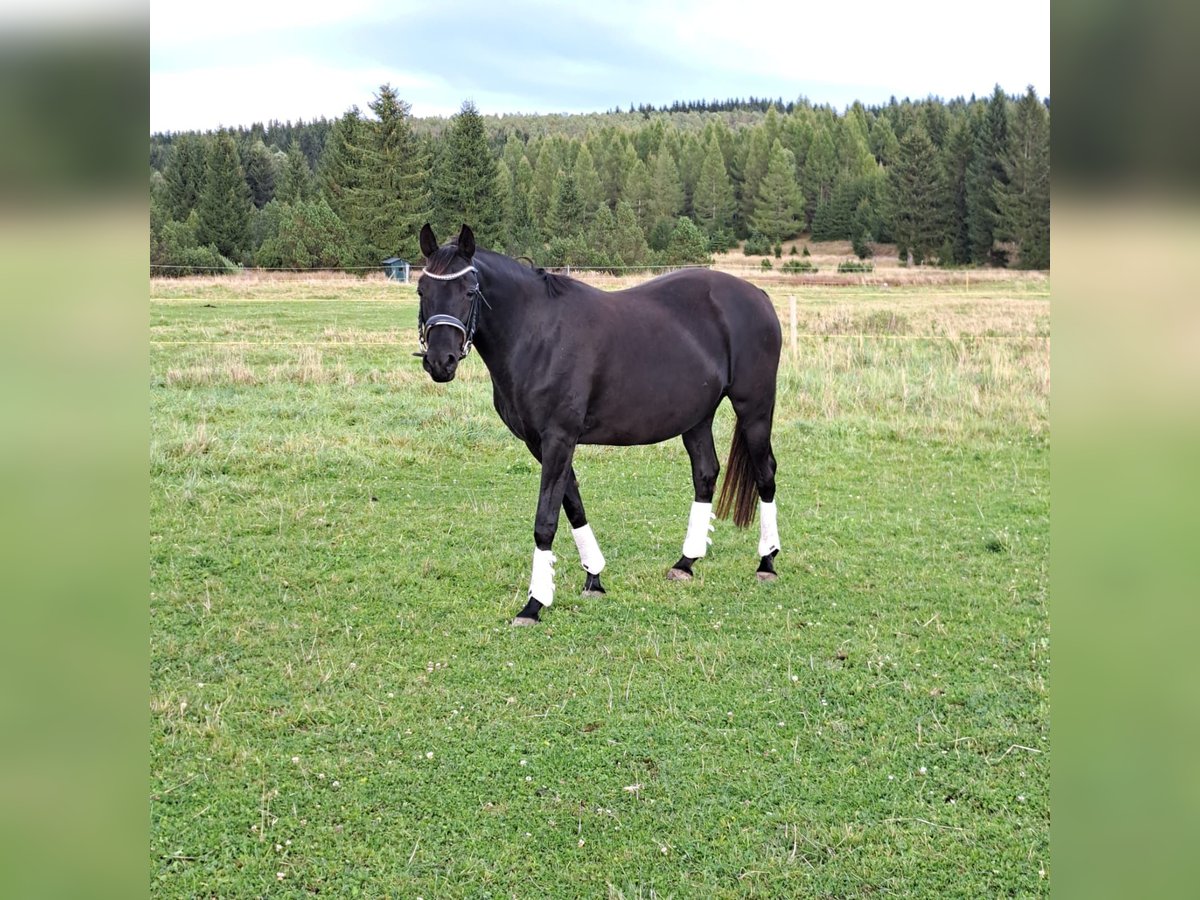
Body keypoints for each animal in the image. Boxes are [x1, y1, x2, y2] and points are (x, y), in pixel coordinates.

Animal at [417, 224, 782, 628]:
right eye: (422, 290)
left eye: (469, 292)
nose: (441, 362)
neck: (537, 333)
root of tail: (757, 295)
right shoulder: (540, 443)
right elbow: (573, 505)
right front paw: (594, 578)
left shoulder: (559, 438)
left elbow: (546, 519)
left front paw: (534, 604)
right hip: (697, 418)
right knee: (705, 474)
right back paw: (686, 562)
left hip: (754, 409)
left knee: (765, 473)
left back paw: (767, 561)